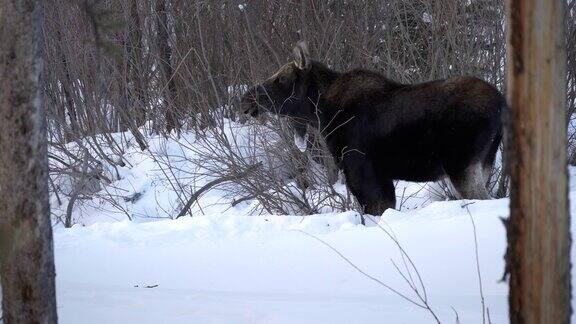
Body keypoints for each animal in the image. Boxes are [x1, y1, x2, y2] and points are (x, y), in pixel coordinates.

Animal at [241, 42, 502, 215]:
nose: (245, 99)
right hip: (485, 162)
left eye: (281, 79)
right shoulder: (381, 175)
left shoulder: (360, 171)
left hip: (461, 165)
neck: (321, 112)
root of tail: (501, 104)